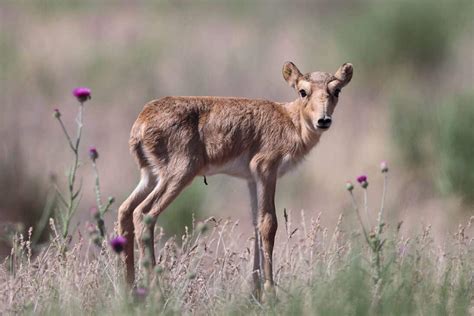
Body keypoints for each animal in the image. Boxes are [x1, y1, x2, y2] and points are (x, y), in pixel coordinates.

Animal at [118, 61, 354, 296]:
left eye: (337, 90)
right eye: (303, 91)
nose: (323, 120)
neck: (290, 119)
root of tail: (141, 122)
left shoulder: (251, 179)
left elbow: (256, 223)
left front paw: (256, 291)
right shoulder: (266, 170)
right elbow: (269, 224)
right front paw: (270, 293)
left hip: (150, 177)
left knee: (125, 210)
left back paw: (129, 290)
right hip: (179, 175)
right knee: (143, 213)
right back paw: (156, 293)